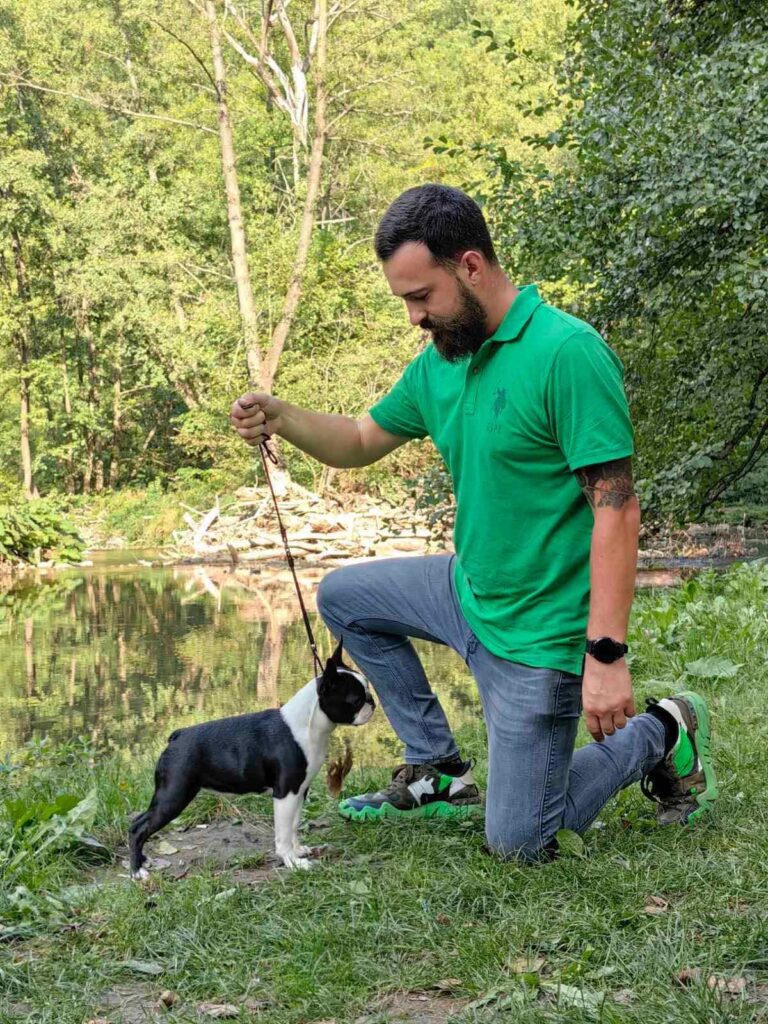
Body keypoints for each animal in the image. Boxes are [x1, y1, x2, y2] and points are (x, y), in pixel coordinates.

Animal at [129, 639, 374, 878]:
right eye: (356, 699)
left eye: (367, 691)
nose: (372, 701)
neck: (308, 723)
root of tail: (177, 736)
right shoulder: (285, 793)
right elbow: (283, 832)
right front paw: (292, 862)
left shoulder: (300, 790)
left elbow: (294, 825)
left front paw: (297, 851)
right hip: (175, 794)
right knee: (137, 827)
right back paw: (136, 870)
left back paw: (142, 861)